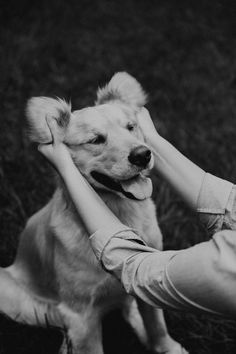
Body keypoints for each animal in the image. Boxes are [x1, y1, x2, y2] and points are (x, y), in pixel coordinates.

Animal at [0, 72, 186, 354]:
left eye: (131, 127)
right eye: (96, 140)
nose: (143, 154)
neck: (119, 212)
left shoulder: (149, 277)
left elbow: (156, 324)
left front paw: (165, 347)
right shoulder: (80, 316)